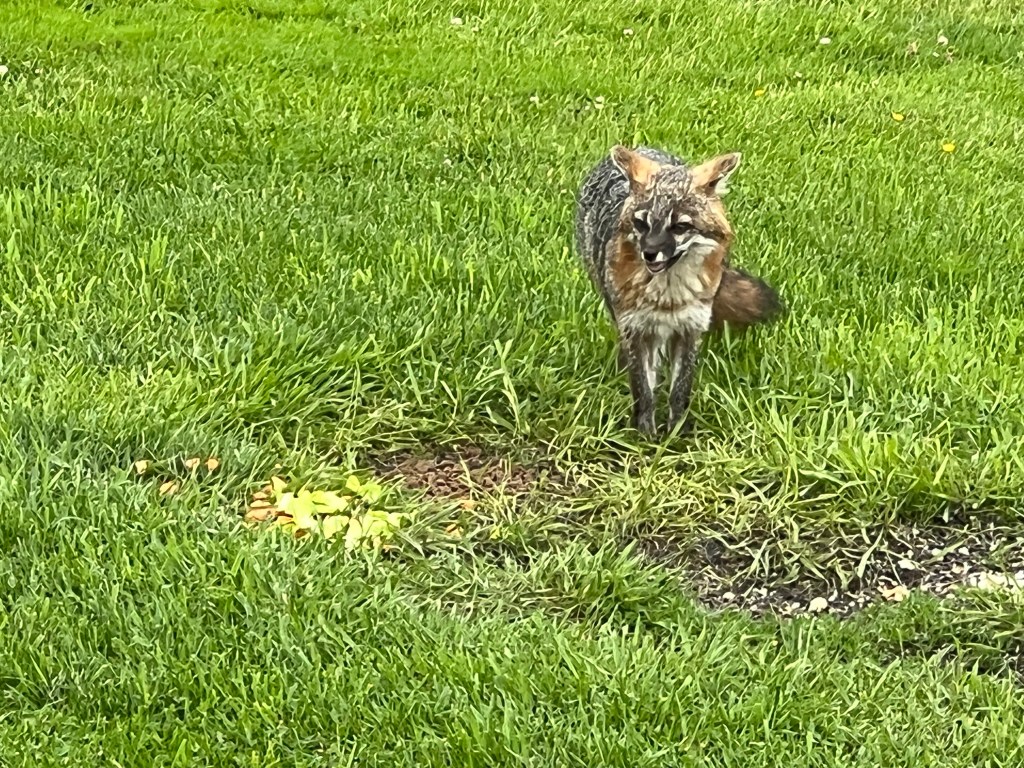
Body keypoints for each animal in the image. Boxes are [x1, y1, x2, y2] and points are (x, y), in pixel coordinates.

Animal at [575, 145, 782, 436]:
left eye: (680, 227)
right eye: (642, 224)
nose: (649, 253)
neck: (668, 298)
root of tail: (642, 146)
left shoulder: (690, 329)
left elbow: (680, 391)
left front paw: (677, 434)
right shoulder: (635, 329)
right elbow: (644, 391)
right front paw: (646, 436)